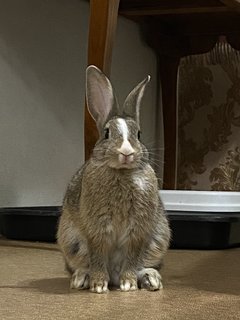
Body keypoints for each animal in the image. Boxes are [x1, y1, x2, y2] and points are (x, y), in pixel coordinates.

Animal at [57, 65, 171, 296]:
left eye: (139, 134)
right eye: (107, 133)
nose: (126, 152)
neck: (121, 173)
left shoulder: (138, 232)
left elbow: (132, 257)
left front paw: (128, 286)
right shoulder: (96, 230)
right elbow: (98, 254)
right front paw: (99, 286)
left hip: (158, 239)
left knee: (141, 265)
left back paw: (149, 280)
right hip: (71, 242)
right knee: (84, 263)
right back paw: (82, 279)